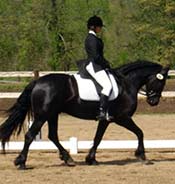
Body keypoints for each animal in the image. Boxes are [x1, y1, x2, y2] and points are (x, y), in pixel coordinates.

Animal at [0, 60, 170, 170]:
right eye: (161, 82)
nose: (153, 101)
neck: (126, 84)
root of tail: (38, 82)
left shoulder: (106, 120)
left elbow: (97, 138)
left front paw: (91, 159)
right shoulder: (122, 118)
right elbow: (140, 132)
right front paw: (142, 156)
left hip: (52, 114)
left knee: (52, 136)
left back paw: (68, 159)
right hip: (43, 116)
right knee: (30, 135)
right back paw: (21, 162)